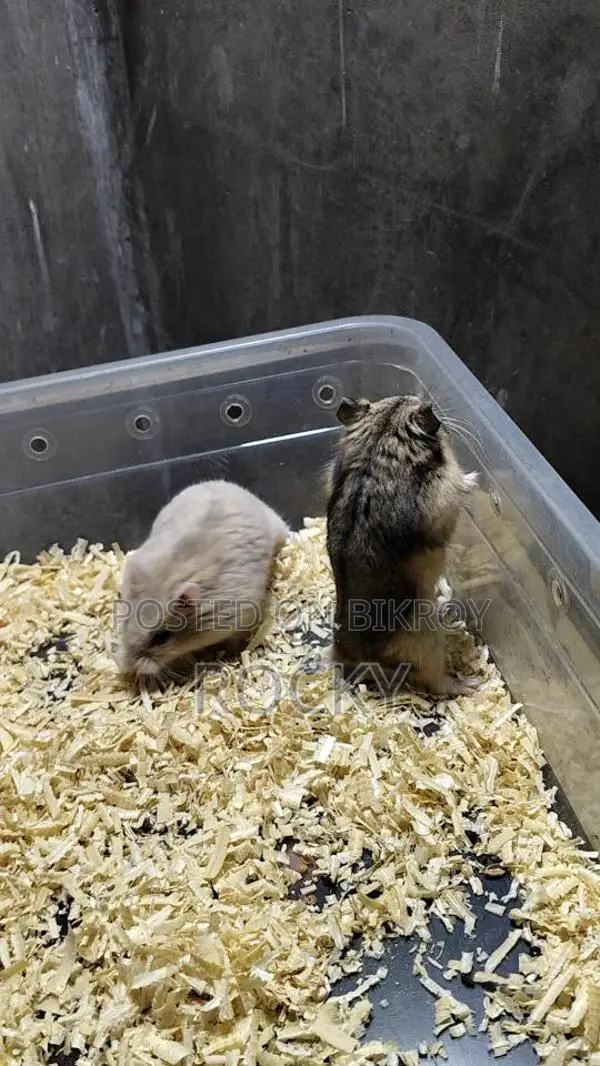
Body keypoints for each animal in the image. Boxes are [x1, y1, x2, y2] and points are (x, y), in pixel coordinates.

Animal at [325, 394, 479, 697]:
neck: (380, 440)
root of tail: (361, 659)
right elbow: (458, 484)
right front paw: (474, 479)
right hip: (428, 639)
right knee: (434, 680)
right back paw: (469, 684)